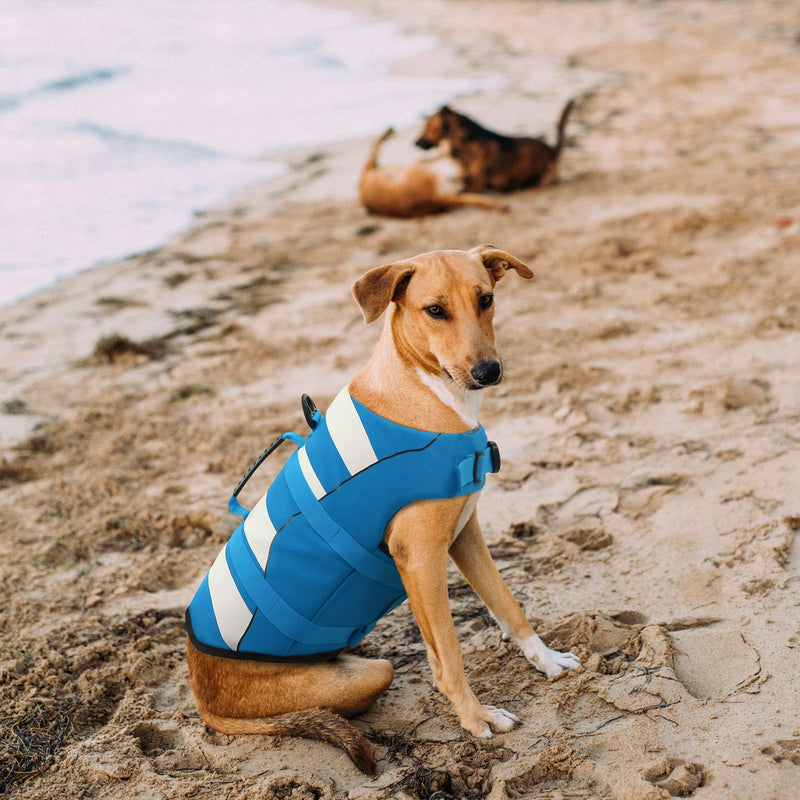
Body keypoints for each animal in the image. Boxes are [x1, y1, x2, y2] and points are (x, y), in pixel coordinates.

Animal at [184, 247, 580, 772]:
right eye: (434, 310)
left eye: (486, 299)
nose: (488, 372)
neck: (427, 392)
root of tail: (203, 697)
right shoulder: (421, 556)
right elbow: (449, 649)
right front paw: (475, 717)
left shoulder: (464, 536)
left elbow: (505, 605)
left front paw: (546, 659)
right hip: (373, 672)